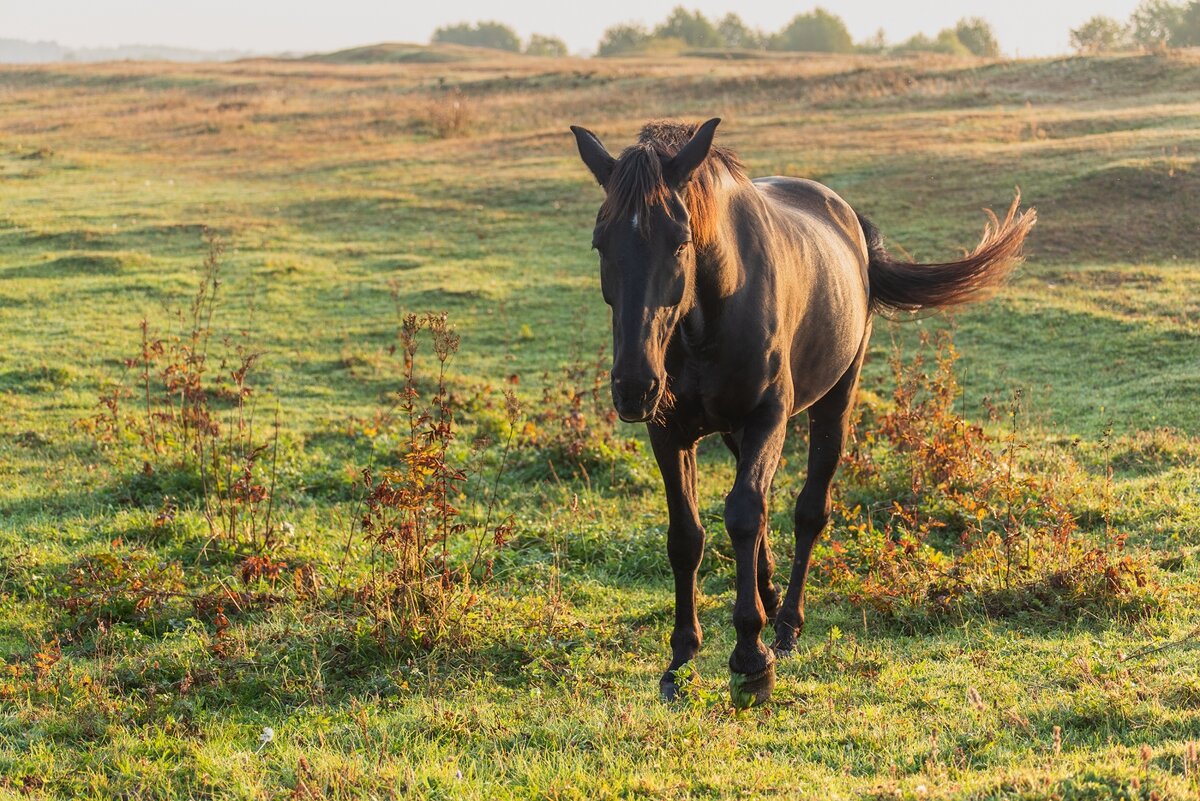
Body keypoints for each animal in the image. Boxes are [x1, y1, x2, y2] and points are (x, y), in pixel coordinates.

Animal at [568, 115, 1032, 705]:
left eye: (679, 242)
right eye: (600, 242)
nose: (634, 386)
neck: (709, 316)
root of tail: (846, 215)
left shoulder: (767, 417)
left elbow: (744, 514)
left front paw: (751, 656)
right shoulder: (668, 431)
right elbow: (687, 536)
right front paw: (681, 658)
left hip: (834, 401)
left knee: (808, 509)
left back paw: (785, 624)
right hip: (732, 429)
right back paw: (766, 601)